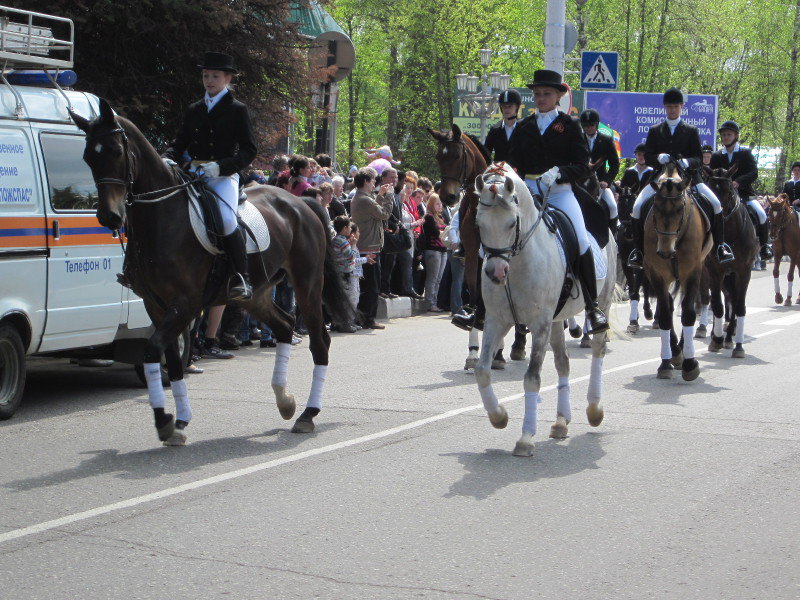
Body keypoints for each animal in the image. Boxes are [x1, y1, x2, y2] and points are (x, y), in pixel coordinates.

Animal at [70, 99, 352, 446]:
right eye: (88, 156)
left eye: (115, 151)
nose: (109, 216)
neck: (162, 219)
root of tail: (303, 204)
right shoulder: (156, 305)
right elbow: (171, 358)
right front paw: (178, 422)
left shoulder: (185, 302)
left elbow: (152, 350)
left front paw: (164, 420)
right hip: (255, 295)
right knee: (286, 326)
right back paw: (285, 401)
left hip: (307, 284)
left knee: (319, 342)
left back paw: (308, 414)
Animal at [428, 125, 528, 366]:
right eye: (438, 157)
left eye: (456, 156)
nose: (448, 197)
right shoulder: (474, 257)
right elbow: (476, 297)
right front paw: (474, 350)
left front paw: (498, 350)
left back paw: (518, 344)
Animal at [472, 162, 616, 458]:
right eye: (479, 225)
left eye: (512, 223)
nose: (495, 273)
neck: (517, 263)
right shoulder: (496, 320)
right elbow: (482, 370)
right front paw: (499, 416)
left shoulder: (539, 324)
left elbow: (532, 378)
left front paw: (525, 439)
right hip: (557, 320)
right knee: (563, 363)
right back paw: (561, 422)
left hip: (602, 302)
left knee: (598, 350)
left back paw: (594, 409)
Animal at [644, 162, 712, 382]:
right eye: (655, 206)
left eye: (681, 208)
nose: (665, 251)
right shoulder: (656, 274)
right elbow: (665, 316)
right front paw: (666, 362)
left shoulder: (692, 272)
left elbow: (689, 313)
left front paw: (690, 364)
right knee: (670, 306)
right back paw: (675, 352)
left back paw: (682, 351)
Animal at [704, 166, 760, 358]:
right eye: (709, 189)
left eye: (728, 191)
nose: (716, 217)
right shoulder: (715, 271)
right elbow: (717, 305)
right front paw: (717, 340)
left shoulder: (744, 271)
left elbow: (739, 306)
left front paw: (738, 346)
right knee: (725, 300)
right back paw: (719, 335)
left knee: (733, 301)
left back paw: (730, 337)